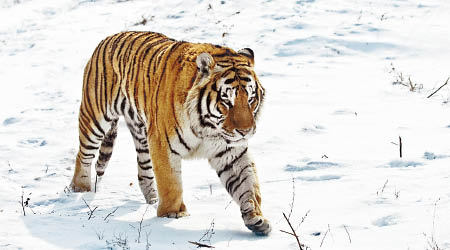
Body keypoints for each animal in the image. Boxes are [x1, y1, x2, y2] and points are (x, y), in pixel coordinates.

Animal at [68, 30, 268, 234]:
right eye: (227, 101)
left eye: (251, 99)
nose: (245, 131)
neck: (207, 128)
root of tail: (109, 37)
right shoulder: (163, 145)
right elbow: (171, 184)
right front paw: (173, 215)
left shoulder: (231, 151)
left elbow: (247, 184)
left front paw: (254, 215)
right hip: (95, 117)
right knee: (83, 155)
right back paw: (80, 188)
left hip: (142, 135)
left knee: (144, 171)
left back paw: (151, 200)